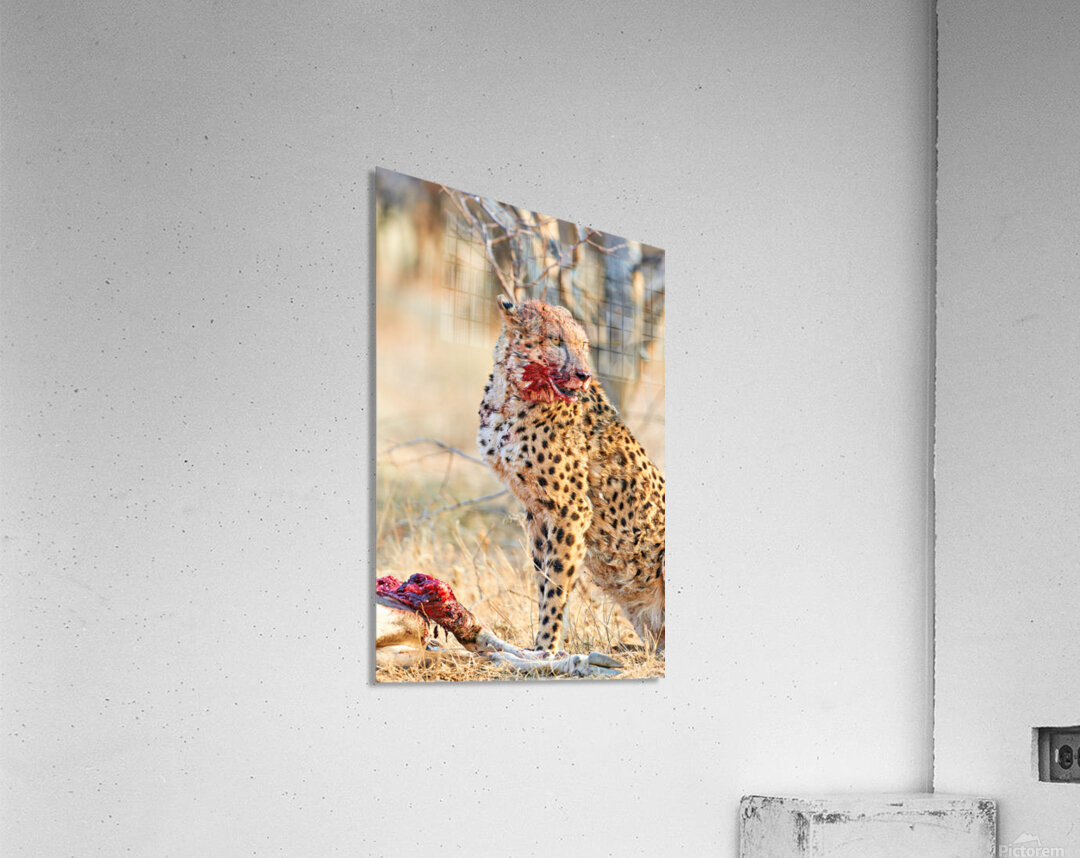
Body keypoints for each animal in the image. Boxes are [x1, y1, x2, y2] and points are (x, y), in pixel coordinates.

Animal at [477, 295, 665, 654]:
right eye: (555, 340)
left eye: (584, 345)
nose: (584, 374)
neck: (513, 394)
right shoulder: (537, 513)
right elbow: (543, 581)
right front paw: (540, 647)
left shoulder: (572, 509)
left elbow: (557, 586)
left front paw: (545, 650)